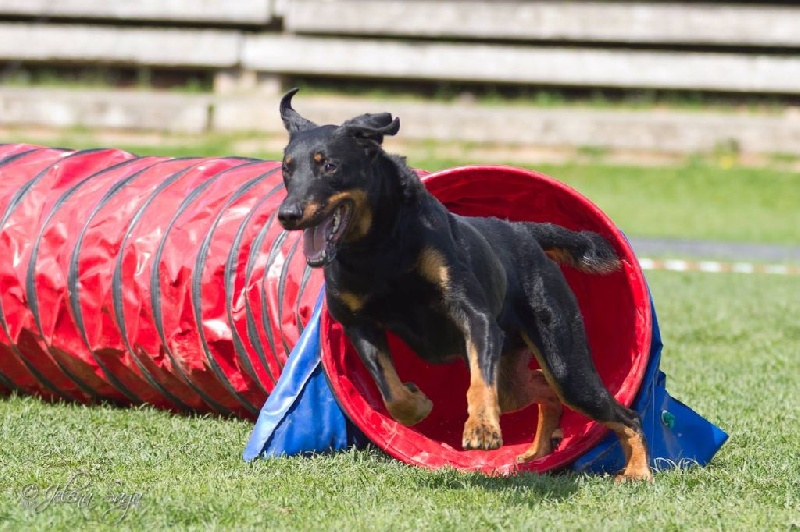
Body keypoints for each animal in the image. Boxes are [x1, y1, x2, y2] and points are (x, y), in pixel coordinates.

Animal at [276, 89, 648, 484]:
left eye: (329, 165)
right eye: (287, 168)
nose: (287, 214)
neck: (378, 248)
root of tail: (523, 231)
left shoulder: (474, 316)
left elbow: (478, 382)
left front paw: (481, 428)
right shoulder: (358, 324)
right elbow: (392, 392)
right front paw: (418, 403)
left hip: (565, 362)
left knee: (622, 413)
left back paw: (637, 471)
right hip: (517, 374)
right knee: (543, 391)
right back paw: (538, 451)